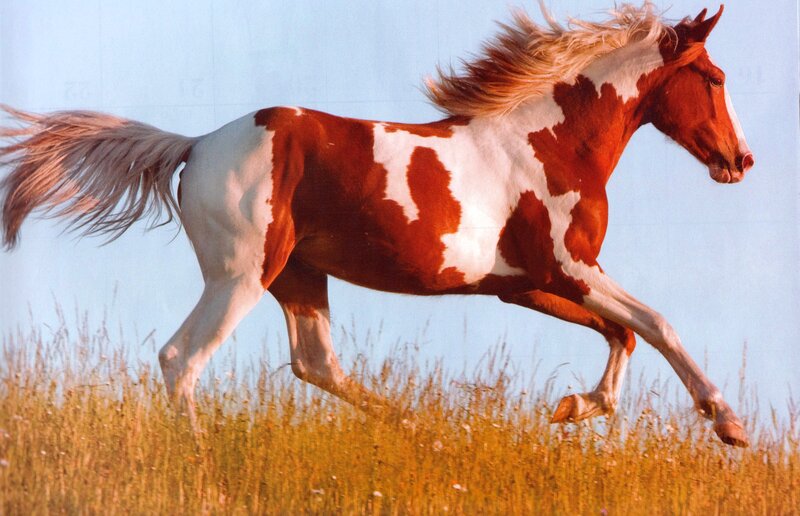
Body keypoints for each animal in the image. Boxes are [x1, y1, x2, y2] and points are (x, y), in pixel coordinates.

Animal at [0, 3, 754, 446]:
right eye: (715, 79)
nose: (741, 160)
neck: (549, 143)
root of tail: (195, 145)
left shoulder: (525, 283)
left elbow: (621, 333)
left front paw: (573, 407)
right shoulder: (571, 267)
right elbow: (657, 324)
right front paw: (728, 423)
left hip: (299, 276)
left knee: (316, 364)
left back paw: (427, 431)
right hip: (241, 275)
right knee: (182, 359)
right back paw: (202, 468)